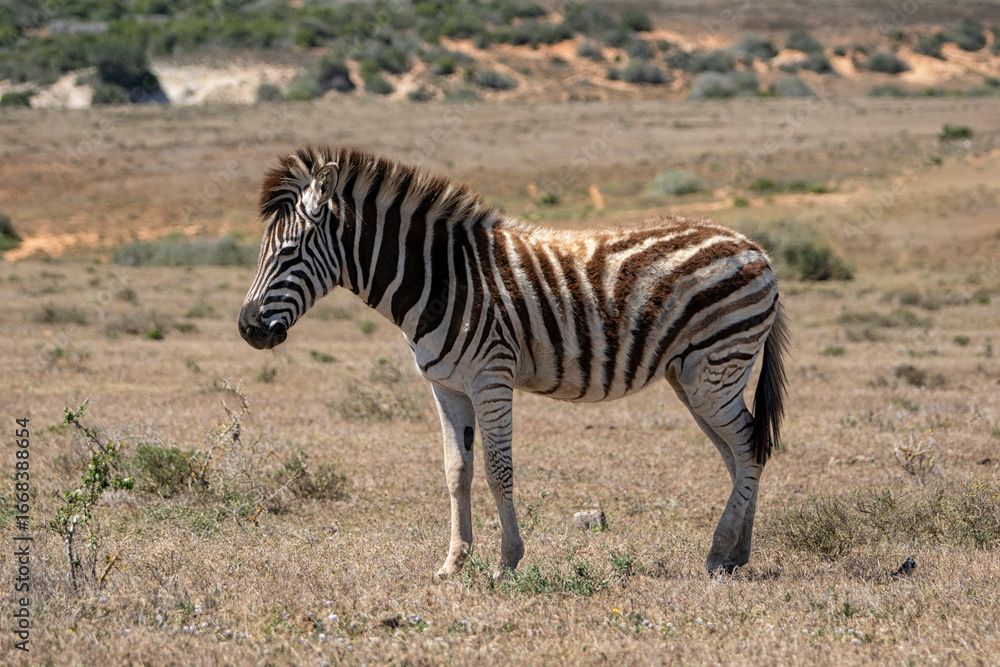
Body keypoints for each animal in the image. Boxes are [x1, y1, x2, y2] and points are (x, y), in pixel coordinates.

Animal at [238, 146, 789, 576]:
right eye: (261, 251)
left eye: (288, 252)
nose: (247, 328)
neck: (442, 278)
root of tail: (755, 248)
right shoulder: (446, 385)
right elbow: (455, 470)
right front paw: (454, 562)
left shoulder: (491, 377)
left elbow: (498, 469)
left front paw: (507, 561)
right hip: (693, 377)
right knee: (738, 454)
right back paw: (736, 552)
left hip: (717, 367)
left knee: (748, 449)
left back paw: (720, 552)